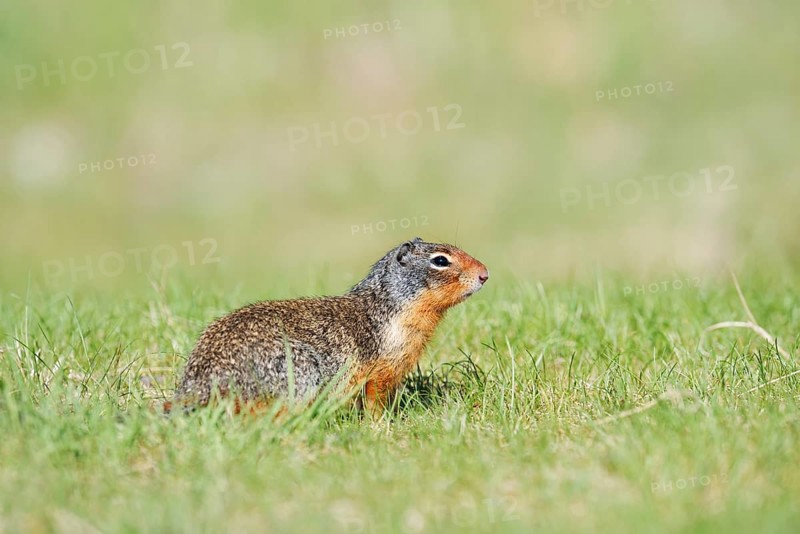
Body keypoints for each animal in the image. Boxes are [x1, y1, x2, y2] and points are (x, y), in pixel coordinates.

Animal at [167, 237, 489, 417]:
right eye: (440, 260)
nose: (485, 274)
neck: (390, 304)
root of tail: (200, 385)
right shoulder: (380, 370)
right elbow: (374, 401)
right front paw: (380, 427)